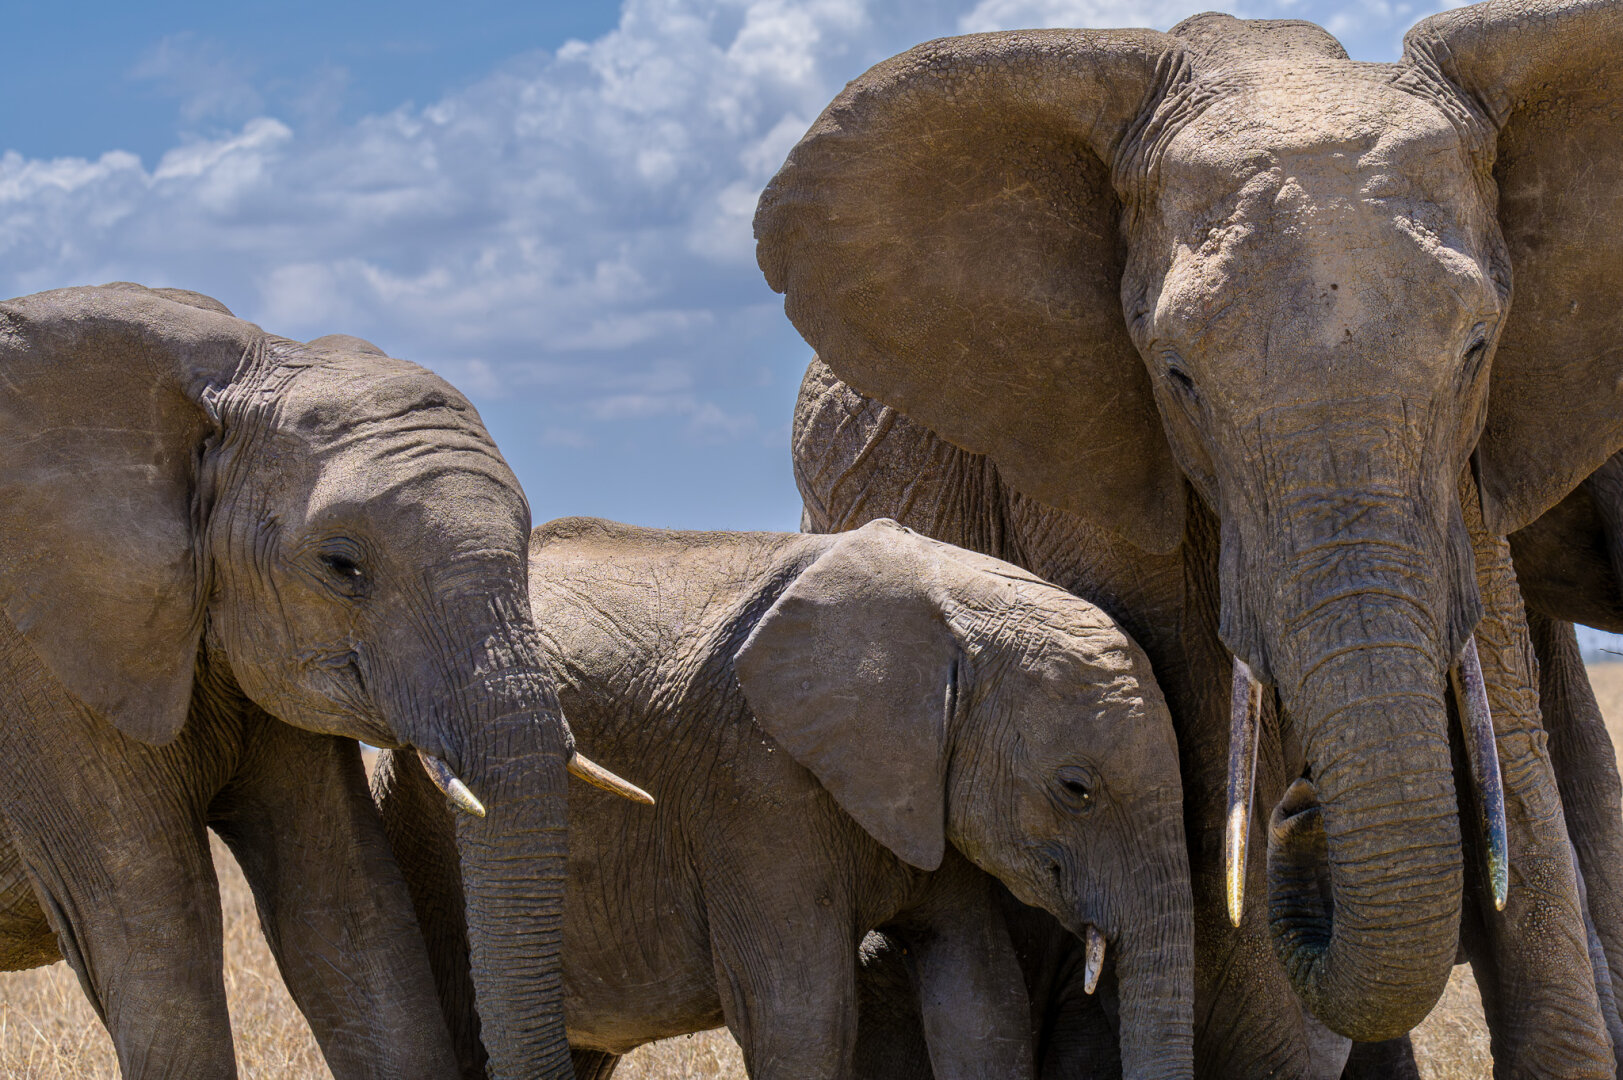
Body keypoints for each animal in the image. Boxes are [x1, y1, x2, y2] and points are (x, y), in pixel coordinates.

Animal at [371, 515, 1195, 1080]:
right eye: (1076, 789)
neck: (953, 599)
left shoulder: (919, 786)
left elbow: (980, 999)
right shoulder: (755, 784)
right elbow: (802, 1014)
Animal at [757, 3, 1623, 1074]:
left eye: (1477, 348)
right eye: (1176, 377)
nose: (1303, 809)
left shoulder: (1470, 476)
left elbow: (1518, 781)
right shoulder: (1086, 456)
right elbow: (1202, 784)